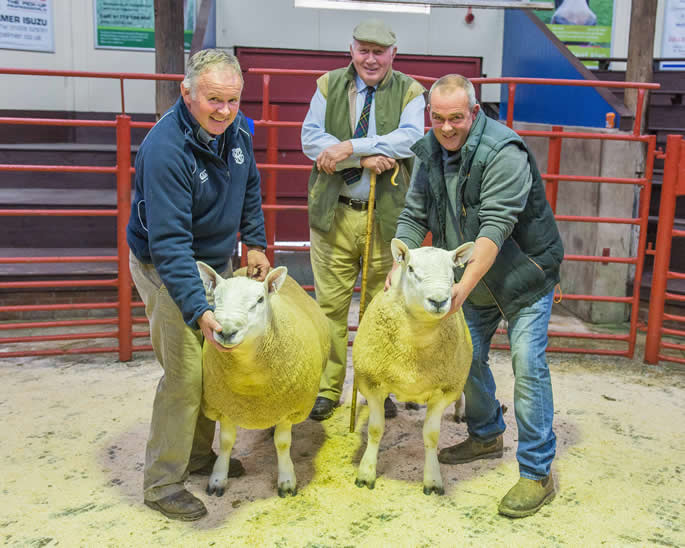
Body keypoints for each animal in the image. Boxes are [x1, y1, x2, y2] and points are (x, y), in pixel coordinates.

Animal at [196, 263, 330, 498]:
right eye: (216, 298)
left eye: (260, 300)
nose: (227, 332)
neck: (248, 375)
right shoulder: (225, 406)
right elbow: (226, 442)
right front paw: (218, 479)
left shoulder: (288, 408)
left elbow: (283, 443)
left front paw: (286, 481)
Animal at [352, 238, 474, 495]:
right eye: (410, 269)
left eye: (452, 271)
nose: (438, 301)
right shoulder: (372, 383)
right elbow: (375, 430)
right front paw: (366, 474)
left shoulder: (444, 390)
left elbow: (432, 436)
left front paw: (433, 480)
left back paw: (460, 412)